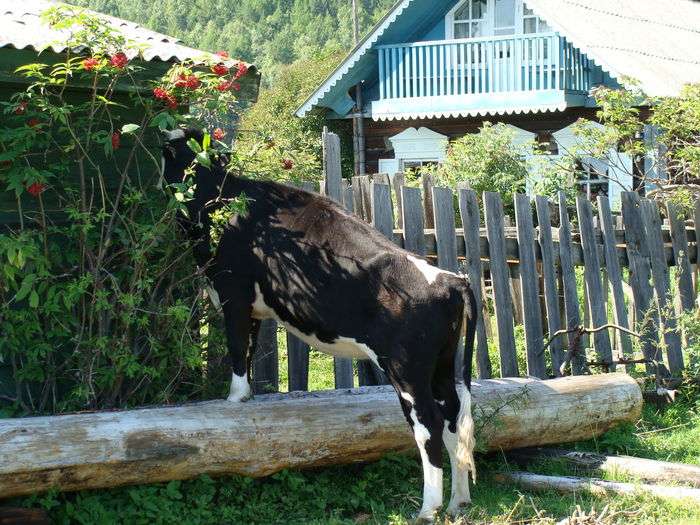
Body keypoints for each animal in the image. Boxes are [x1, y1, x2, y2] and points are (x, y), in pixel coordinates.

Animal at [161, 127, 478, 520]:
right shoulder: (253, 309)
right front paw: (246, 395)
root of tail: (451, 279)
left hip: (407, 369)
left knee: (429, 426)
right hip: (442, 363)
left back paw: (428, 508)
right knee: (453, 417)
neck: (222, 197)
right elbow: (248, 350)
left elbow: (236, 348)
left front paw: (234, 399)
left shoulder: (234, 295)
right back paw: (458, 501)